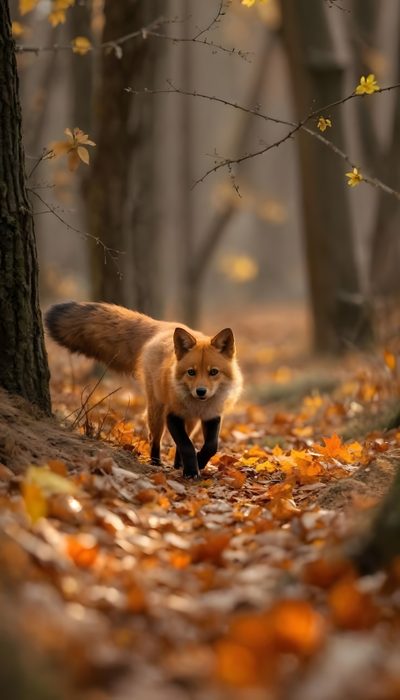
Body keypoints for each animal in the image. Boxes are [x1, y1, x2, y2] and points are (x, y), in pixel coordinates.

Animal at [45, 302, 242, 479]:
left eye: (213, 372)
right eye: (191, 372)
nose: (201, 391)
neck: (199, 406)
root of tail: (164, 326)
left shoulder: (212, 415)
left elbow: (210, 446)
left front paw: (198, 462)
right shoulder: (172, 415)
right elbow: (186, 445)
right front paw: (191, 471)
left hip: (190, 422)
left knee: (182, 440)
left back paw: (178, 464)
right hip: (157, 412)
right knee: (154, 438)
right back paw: (157, 462)